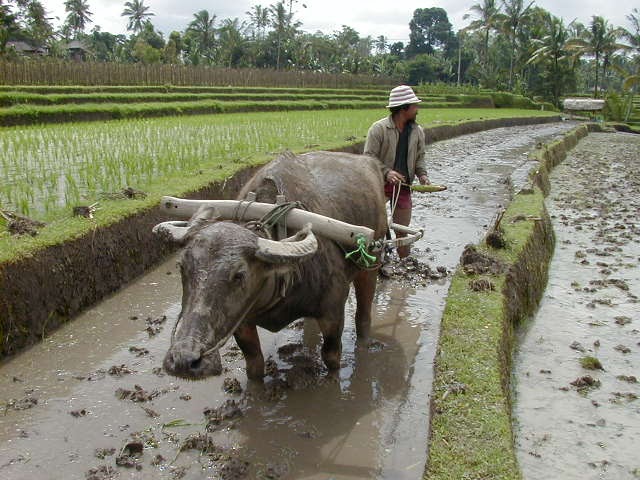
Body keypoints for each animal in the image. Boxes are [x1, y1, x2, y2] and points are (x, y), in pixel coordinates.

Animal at [154, 152, 384, 380]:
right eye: (182, 267)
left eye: (239, 275)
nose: (184, 360)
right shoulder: (242, 323)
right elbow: (254, 365)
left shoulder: (333, 312)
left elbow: (332, 359)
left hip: (370, 266)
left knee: (363, 315)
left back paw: (365, 344)